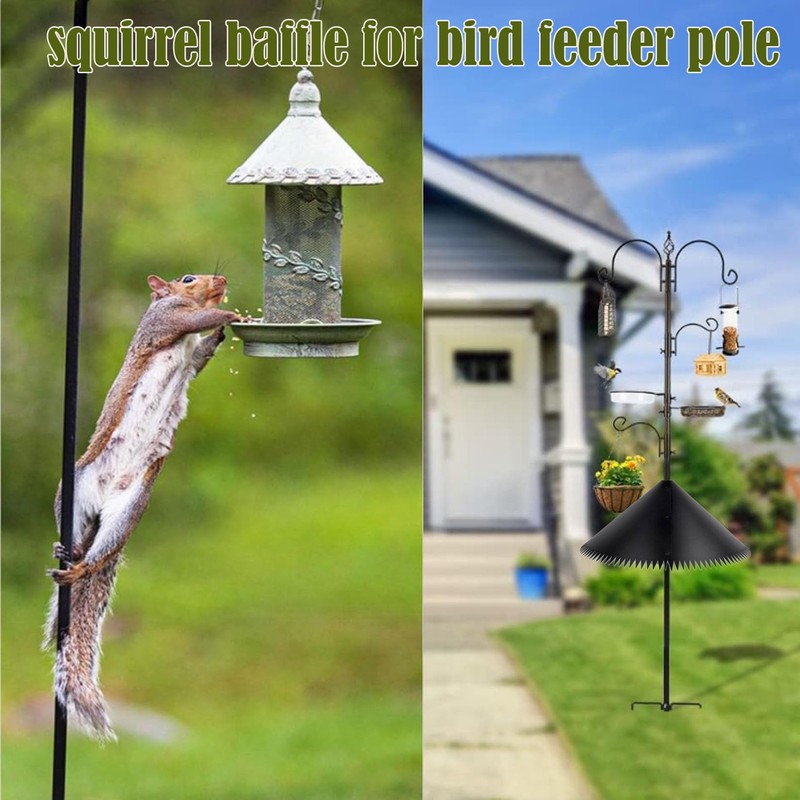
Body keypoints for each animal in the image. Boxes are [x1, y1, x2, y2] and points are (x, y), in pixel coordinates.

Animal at [42, 273, 240, 741]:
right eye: (187, 278)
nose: (222, 280)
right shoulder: (163, 322)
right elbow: (190, 322)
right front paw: (228, 316)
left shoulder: (191, 358)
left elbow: (200, 355)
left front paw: (219, 334)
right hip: (73, 486)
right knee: (76, 532)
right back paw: (67, 552)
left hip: (131, 506)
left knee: (98, 554)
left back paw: (81, 565)